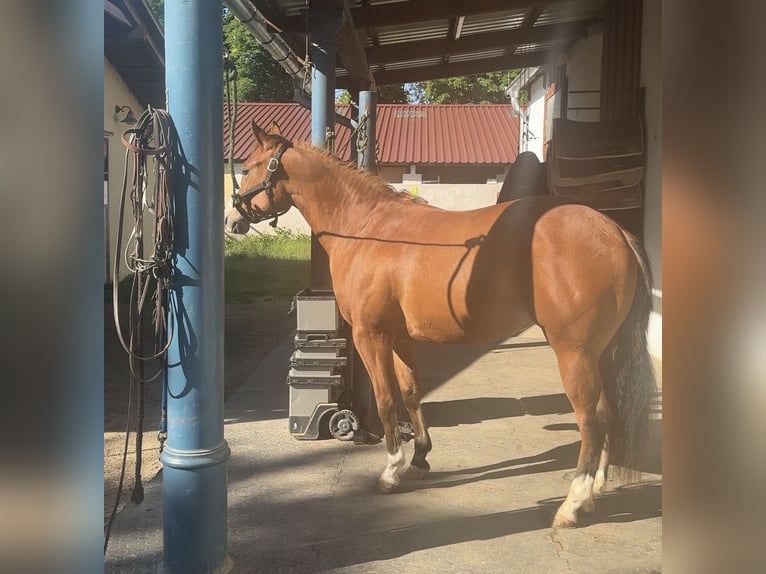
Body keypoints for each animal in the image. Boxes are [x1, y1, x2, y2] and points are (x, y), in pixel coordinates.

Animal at [224, 120, 656, 528]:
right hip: (599, 353)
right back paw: (595, 490)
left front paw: (391, 471)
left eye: (247, 167)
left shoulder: (371, 335)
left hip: (574, 352)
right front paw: (419, 459)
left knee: (591, 420)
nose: (231, 220)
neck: (366, 227)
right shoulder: (400, 337)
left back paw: (572, 504)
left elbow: (385, 399)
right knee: (607, 412)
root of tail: (614, 231)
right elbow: (412, 393)